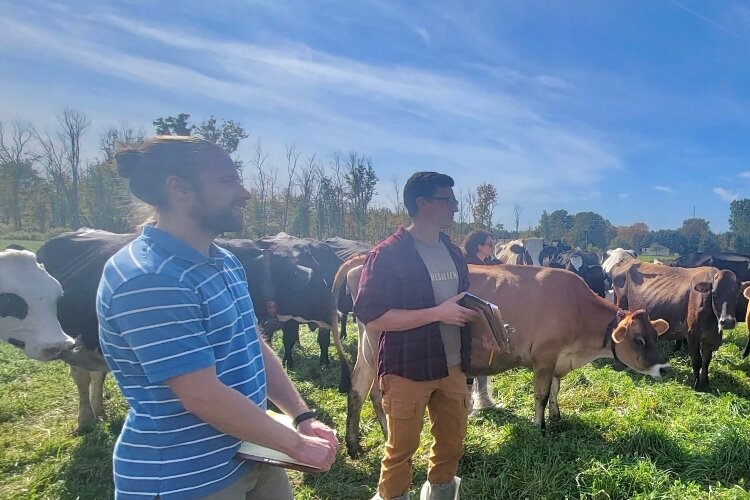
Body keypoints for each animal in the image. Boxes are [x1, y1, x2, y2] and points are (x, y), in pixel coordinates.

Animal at [332, 258, 672, 458]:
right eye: (639, 340)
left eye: (656, 337)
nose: (665, 369)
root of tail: (362, 260)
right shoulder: (545, 356)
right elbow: (541, 394)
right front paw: (540, 427)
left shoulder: (558, 360)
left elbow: (556, 391)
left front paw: (557, 416)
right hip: (378, 344)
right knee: (372, 391)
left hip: (367, 346)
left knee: (362, 389)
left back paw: (361, 442)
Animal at [612, 260, 748, 392]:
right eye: (714, 293)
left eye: (737, 294)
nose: (727, 321)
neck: (712, 322)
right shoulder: (692, 335)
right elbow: (697, 360)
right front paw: (696, 384)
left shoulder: (710, 339)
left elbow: (706, 361)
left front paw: (705, 383)